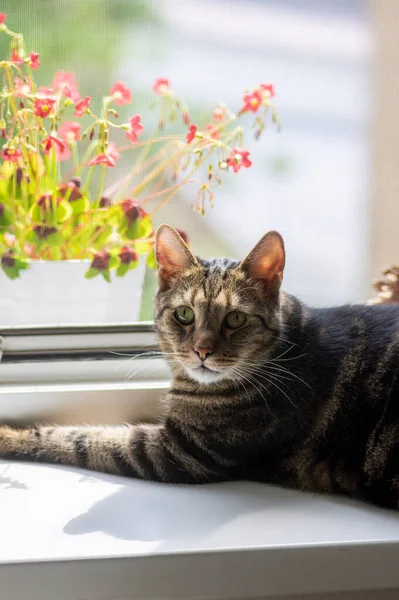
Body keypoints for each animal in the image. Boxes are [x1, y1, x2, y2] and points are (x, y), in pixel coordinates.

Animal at [0, 225, 399, 510]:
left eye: (236, 319)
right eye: (184, 314)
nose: (202, 350)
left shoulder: (178, 451)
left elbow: (79, 437)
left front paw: (10, 436)